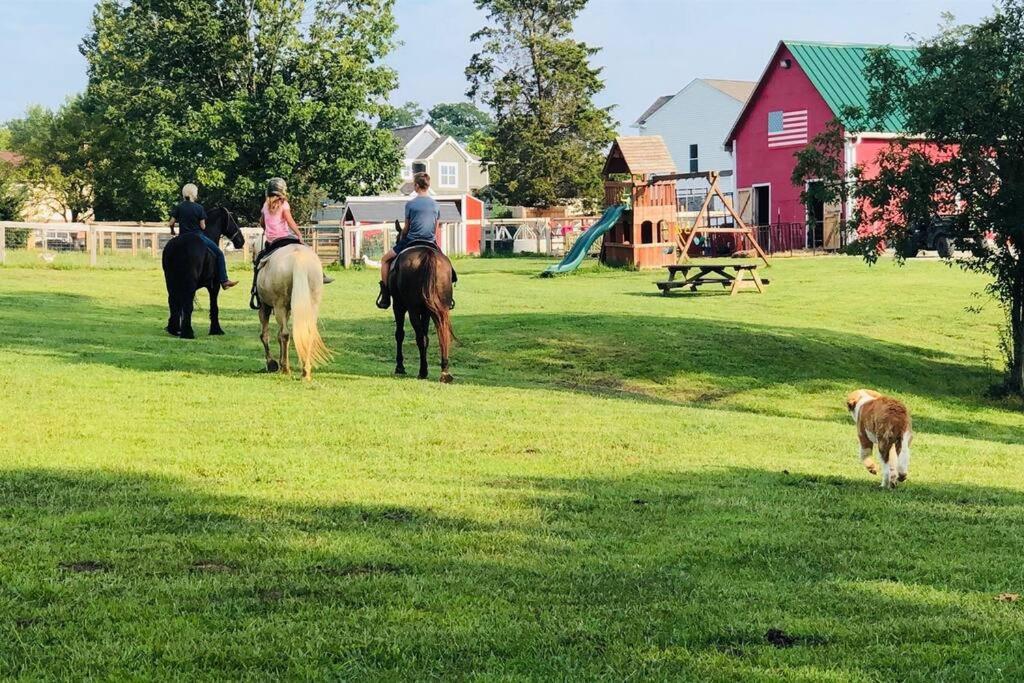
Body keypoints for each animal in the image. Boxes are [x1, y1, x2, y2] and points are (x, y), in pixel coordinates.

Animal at [162, 205, 244, 339]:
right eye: (234, 221)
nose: (241, 241)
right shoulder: (214, 286)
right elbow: (214, 306)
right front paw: (216, 330)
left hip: (171, 281)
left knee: (173, 302)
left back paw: (174, 329)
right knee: (187, 305)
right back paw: (187, 332)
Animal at [254, 242, 329, 378]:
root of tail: (298, 258)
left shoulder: (264, 307)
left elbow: (265, 335)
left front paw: (272, 363)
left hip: (279, 306)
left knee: (284, 334)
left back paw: (286, 369)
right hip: (311, 306)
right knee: (308, 333)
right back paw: (305, 371)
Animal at [391, 245, 456, 385]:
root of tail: (428, 253)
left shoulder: (398, 307)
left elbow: (399, 334)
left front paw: (400, 366)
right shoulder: (426, 312)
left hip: (412, 310)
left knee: (420, 338)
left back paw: (423, 372)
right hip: (441, 308)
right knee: (441, 334)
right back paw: (444, 371)